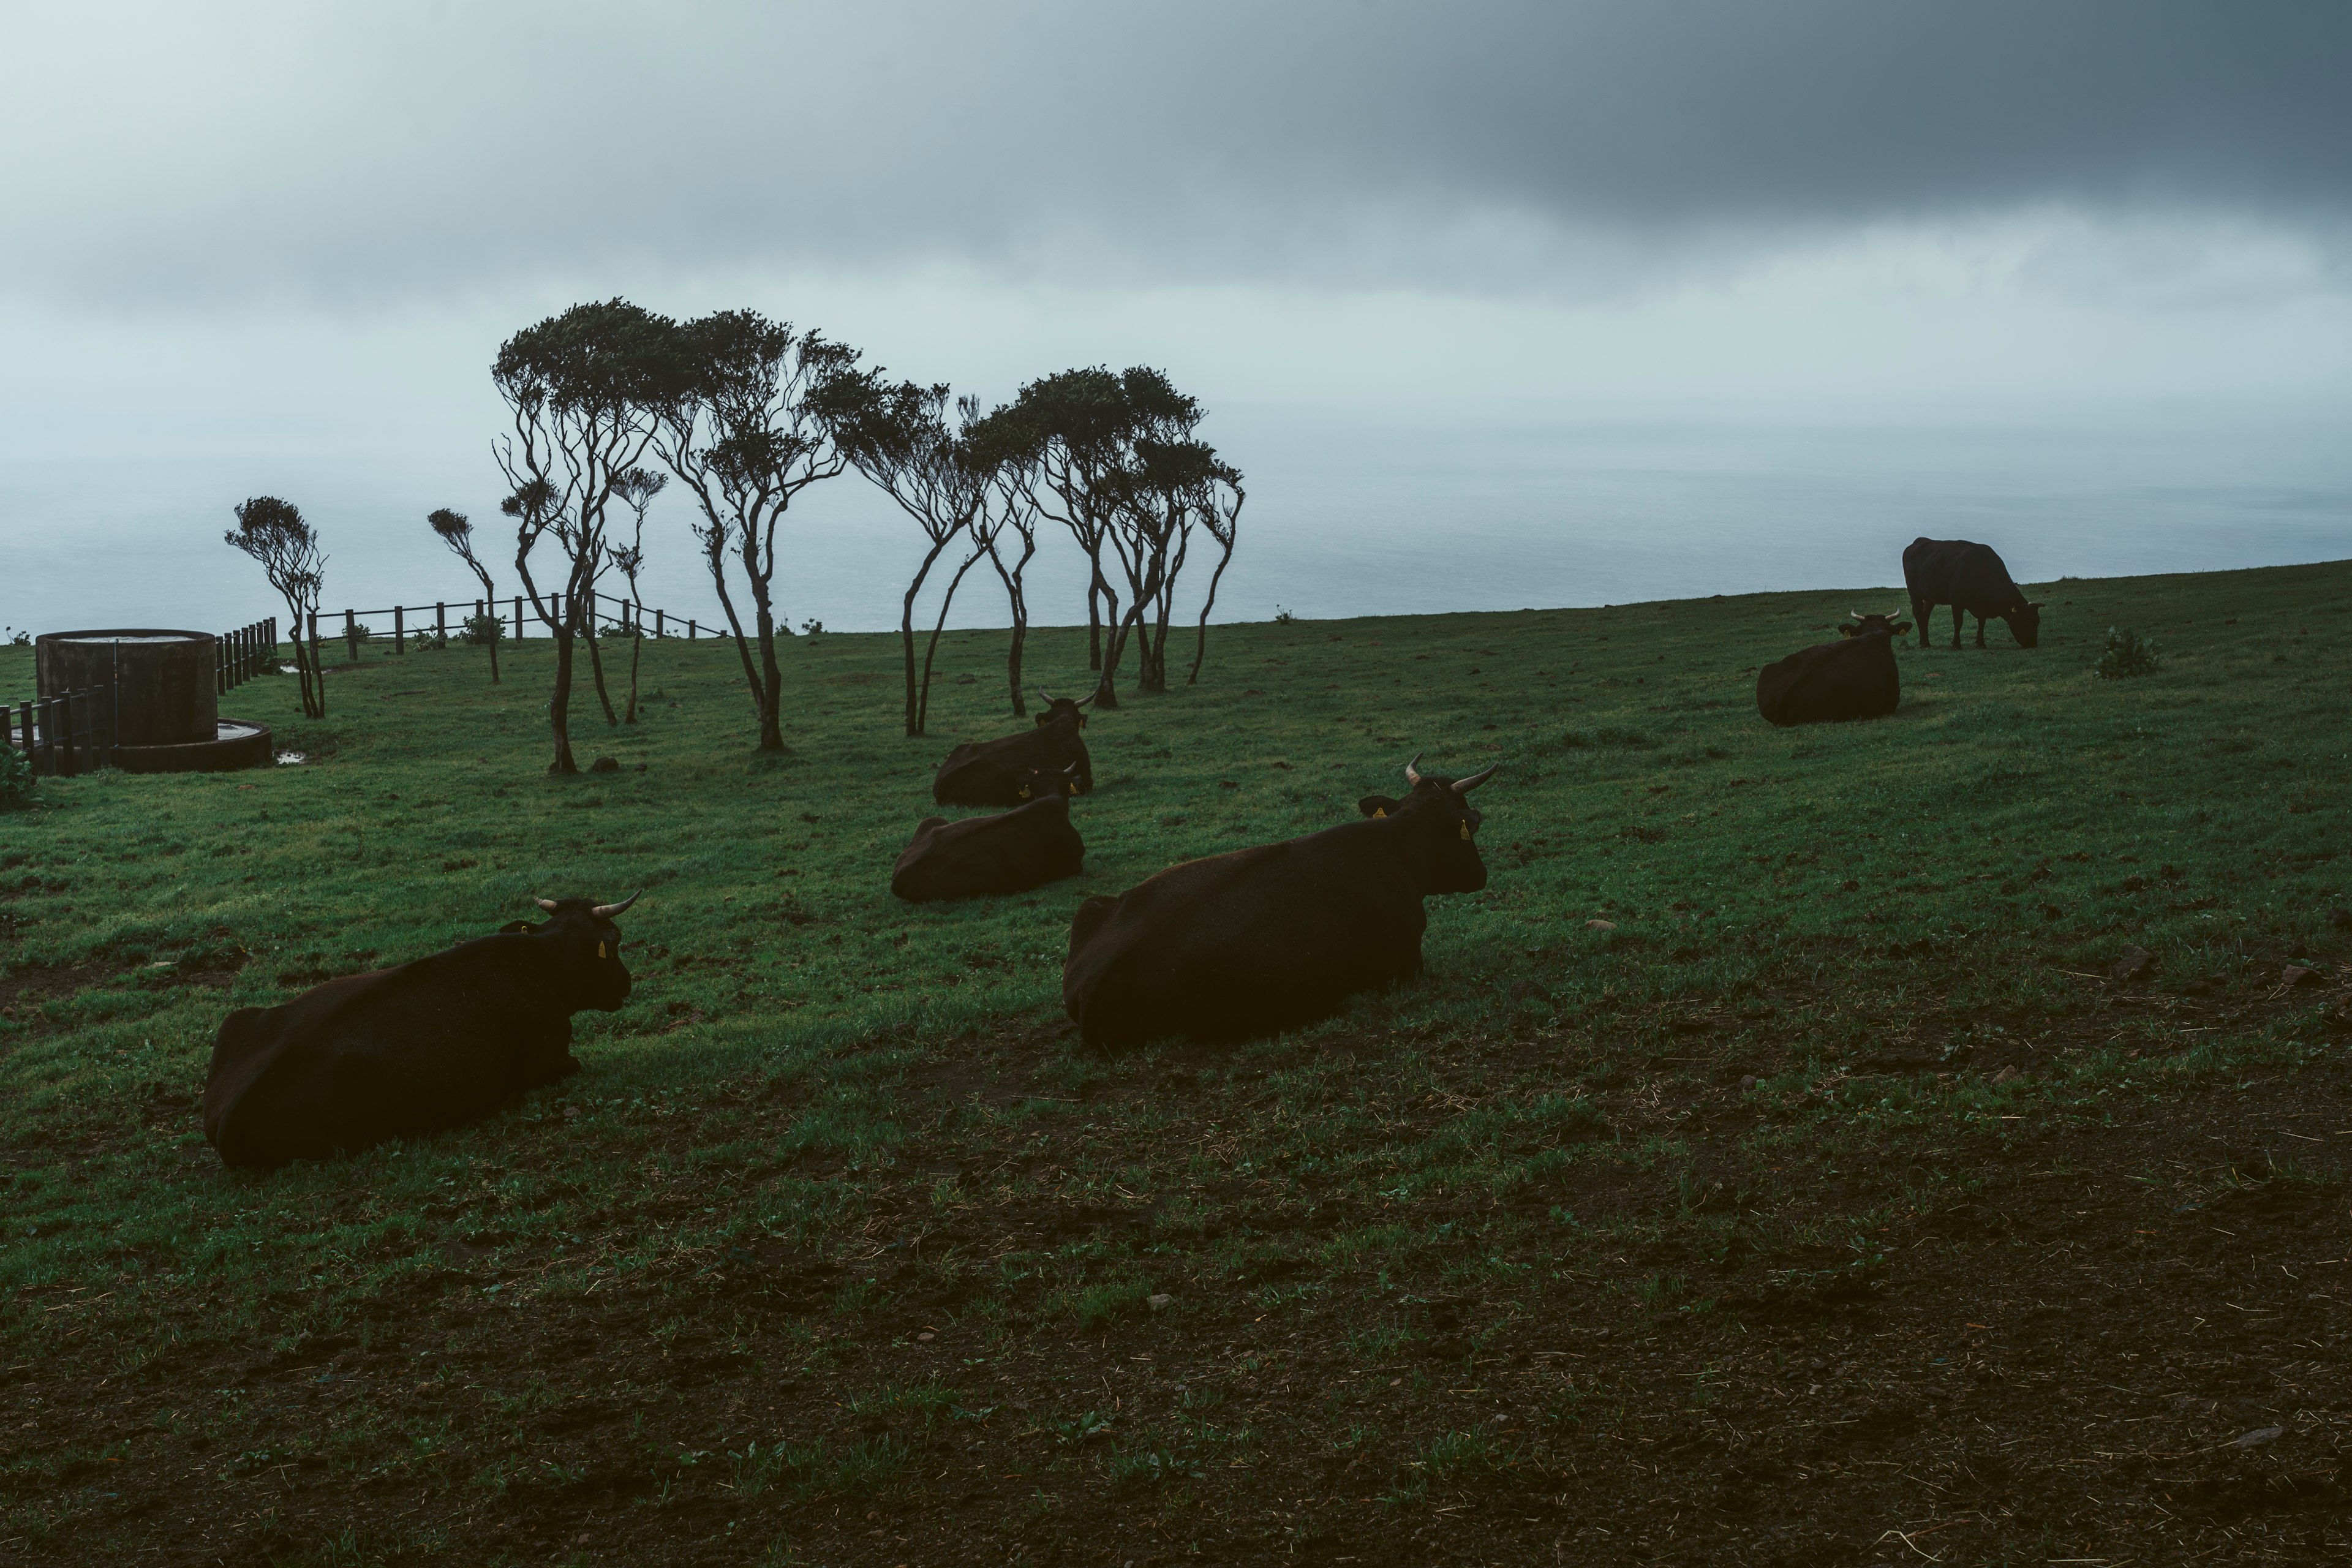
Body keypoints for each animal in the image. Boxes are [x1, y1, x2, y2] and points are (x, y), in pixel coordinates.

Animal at [1063, 752, 1496, 1048]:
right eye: (1467, 827)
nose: (1481, 874)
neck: (1395, 848)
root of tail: (1088, 982)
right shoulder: (1405, 967)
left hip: (1091, 905)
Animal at [1900, 540, 2051, 649]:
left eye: (2037, 621)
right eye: (2028, 620)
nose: (2033, 644)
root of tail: (1918, 542)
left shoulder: (1982, 606)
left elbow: (1982, 623)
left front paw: (1981, 643)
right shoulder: (1957, 602)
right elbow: (1958, 623)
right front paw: (1956, 644)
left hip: (1930, 596)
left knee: (1925, 616)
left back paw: (1926, 642)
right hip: (1915, 592)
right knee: (1919, 615)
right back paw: (1924, 644)